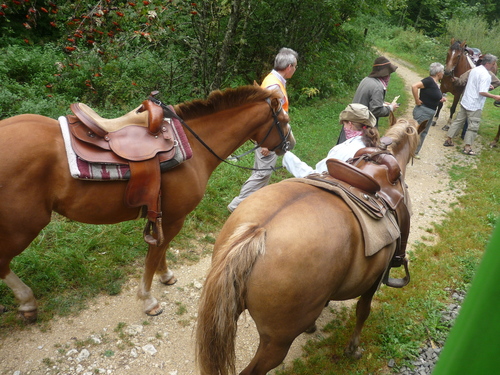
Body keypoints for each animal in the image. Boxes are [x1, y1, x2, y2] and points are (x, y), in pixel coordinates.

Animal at [0, 86, 292, 324]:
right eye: (284, 121)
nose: (290, 143)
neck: (193, 144)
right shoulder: (173, 218)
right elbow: (154, 253)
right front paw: (148, 299)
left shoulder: (164, 216)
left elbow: (161, 250)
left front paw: (165, 275)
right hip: (23, 226)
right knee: (3, 263)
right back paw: (27, 302)